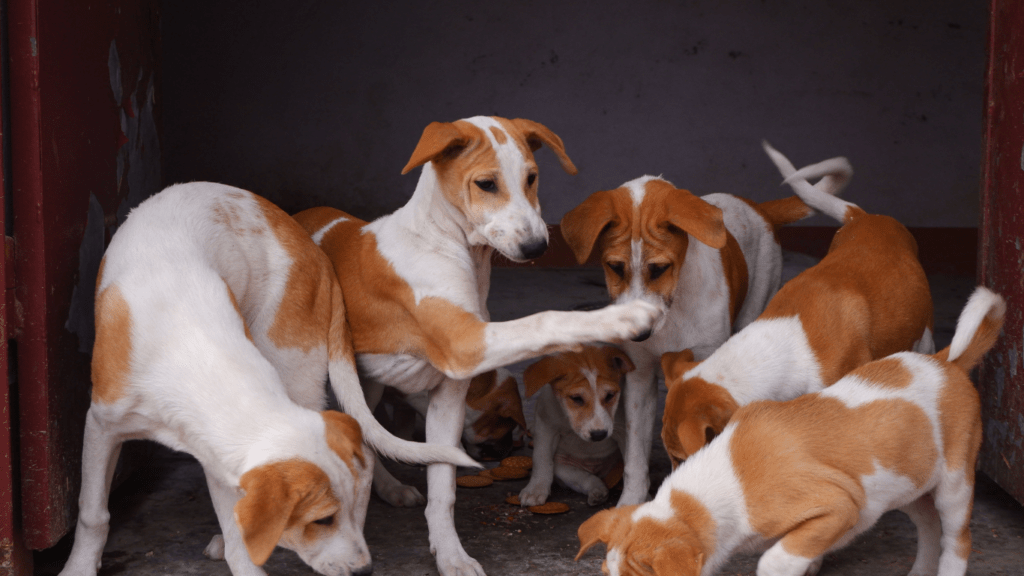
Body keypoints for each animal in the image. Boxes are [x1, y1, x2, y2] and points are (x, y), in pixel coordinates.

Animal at [61, 182, 477, 573]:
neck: (189, 346)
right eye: (322, 520)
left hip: (297, 371)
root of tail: (312, 247)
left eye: (351, 513)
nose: (365, 571)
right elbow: (92, 512)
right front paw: (78, 567)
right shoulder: (102, 425)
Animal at [524, 342, 634, 504]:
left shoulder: (624, 432)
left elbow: (634, 463)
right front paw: (535, 489)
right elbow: (541, 459)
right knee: (583, 478)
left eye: (609, 396)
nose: (599, 435)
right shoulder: (546, 427)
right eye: (576, 398)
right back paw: (596, 489)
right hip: (563, 467)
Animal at [581, 284, 1003, 573]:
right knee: (929, 528)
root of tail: (945, 361)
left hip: (954, 484)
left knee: (956, 540)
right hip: (910, 484)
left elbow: (776, 559)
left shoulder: (837, 506)